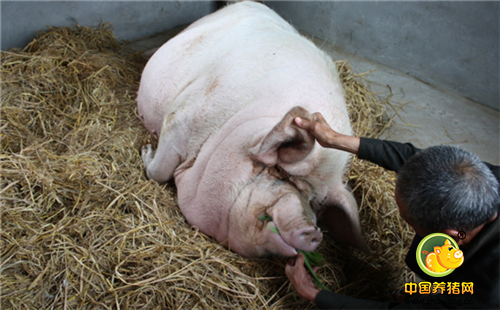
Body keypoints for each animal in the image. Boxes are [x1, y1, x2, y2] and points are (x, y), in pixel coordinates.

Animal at [136, 0, 364, 256]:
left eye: (315, 202)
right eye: (281, 172)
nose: (314, 232)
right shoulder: (181, 118)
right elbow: (158, 172)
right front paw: (146, 150)